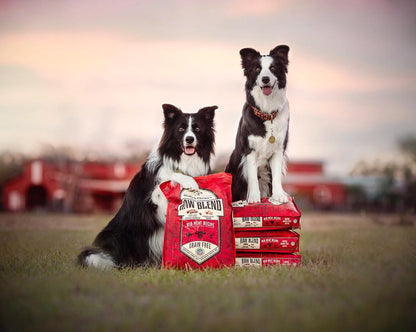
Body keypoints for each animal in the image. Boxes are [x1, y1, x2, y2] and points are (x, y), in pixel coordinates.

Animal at [77, 104, 218, 270]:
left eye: (197, 128)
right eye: (181, 129)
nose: (189, 139)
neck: (183, 161)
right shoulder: (153, 198)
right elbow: (170, 177)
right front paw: (187, 180)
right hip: (117, 234)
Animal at [226, 44, 290, 205]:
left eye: (273, 68)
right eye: (257, 69)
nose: (265, 79)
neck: (267, 114)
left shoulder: (278, 150)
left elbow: (276, 177)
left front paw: (278, 195)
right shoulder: (250, 151)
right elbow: (253, 177)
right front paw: (254, 198)